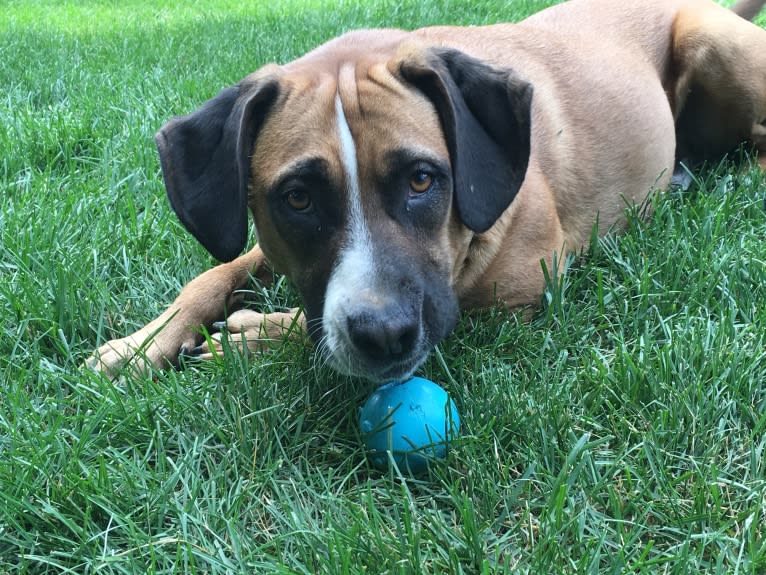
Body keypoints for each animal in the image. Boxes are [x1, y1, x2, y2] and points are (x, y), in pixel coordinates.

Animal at [87, 0, 766, 384]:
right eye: (298, 198)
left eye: (421, 179)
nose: (384, 334)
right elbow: (212, 275)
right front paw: (143, 343)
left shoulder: (520, 291)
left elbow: (421, 314)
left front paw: (258, 338)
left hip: (713, 44)